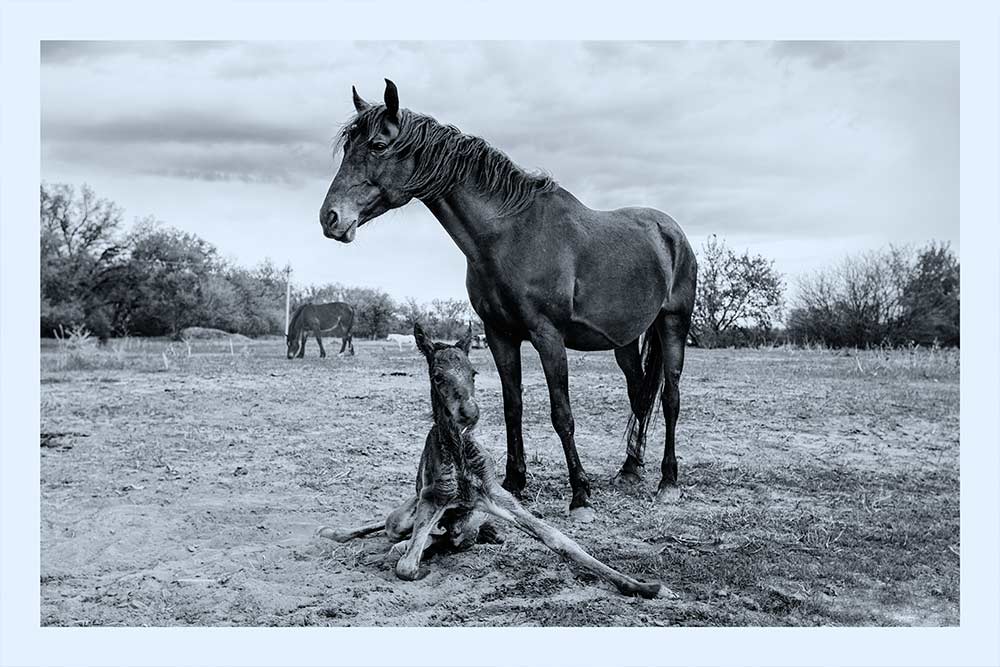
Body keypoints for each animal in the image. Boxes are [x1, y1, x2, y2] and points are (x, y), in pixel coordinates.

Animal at [318, 79, 696, 520]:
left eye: (378, 145)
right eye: (348, 147)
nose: (330, 218)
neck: (509, 236)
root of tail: (670, 232)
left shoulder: (548, 337)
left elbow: (562, 414)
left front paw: (580, 495)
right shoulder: (500, 335)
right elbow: (511, 406)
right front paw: (514, 481)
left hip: (673, 325)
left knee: (669, 399)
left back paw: (668, 482)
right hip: (624, 342)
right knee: (639, 394)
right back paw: (630, 470)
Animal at [318, 324, 664, 600]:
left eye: (473, 373)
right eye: (437, 376)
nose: (469, 413)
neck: (460, 456)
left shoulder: (496, 496)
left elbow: (560, 540)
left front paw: (645, 587)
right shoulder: (433, 499)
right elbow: (407, 565)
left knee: (452, 537)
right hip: (405, 516)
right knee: (394, 529)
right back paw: (341, 532)